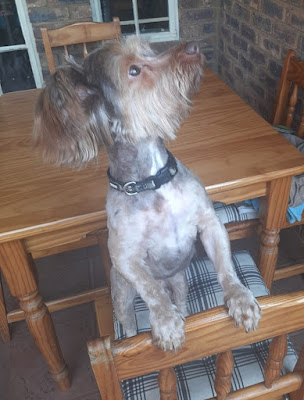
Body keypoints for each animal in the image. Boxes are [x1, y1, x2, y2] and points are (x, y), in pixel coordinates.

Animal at [33, 36, 262, 350]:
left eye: (150, 50)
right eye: (134, 70)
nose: (192, 47)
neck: (153, 181)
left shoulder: (210, 223)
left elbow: (226, 266)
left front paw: (240, 298)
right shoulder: (124, 258)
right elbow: (151, 289)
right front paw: (165, 322)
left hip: (180, 282)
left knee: (179, 297)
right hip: (121, 294)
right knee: (130, 317)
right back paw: (134, 333)